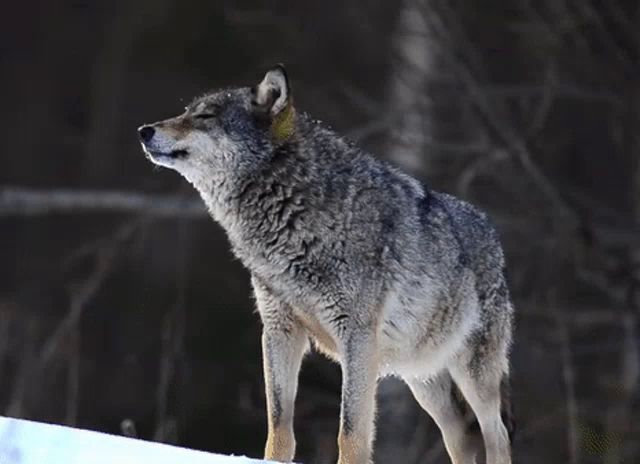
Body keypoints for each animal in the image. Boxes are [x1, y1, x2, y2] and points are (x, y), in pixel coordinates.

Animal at [139, 65, 516, 464]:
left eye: (205, 116)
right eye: (186, 111)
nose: (143, 130)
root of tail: (492, 232)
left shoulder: (357, 339)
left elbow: (350, 432)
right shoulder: (279, 331)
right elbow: (279, 426)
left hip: (473, 375)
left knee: (497, 435)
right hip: (423, 380)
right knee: (463, 437)